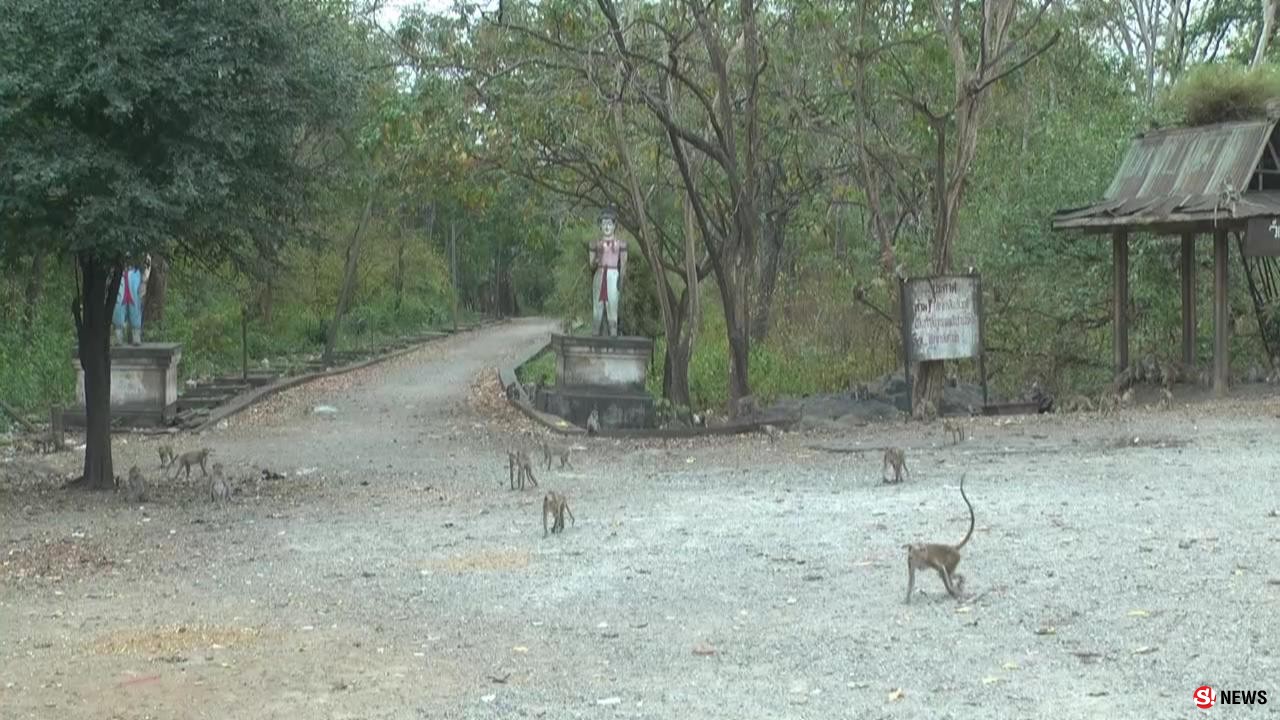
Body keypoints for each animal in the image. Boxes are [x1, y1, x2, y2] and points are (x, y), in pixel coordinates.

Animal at [906, 474, 972, 602]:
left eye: (920, 550)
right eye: (911, 553)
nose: (911, 556)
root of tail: (953, 548)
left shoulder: (929, 559)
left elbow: (941, 569)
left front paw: (951, 591)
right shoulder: (910, 563)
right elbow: (912, 577)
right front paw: (907, 599)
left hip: (954, 557)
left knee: (947, 572)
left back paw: (956, 587)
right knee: (949, 574)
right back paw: (960, 581)